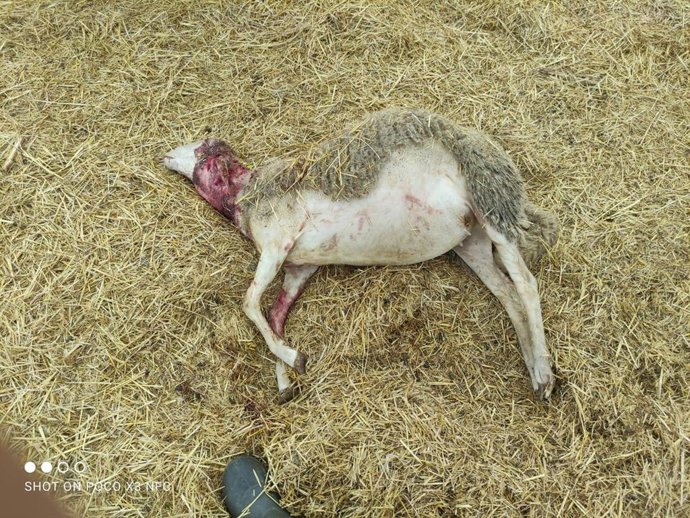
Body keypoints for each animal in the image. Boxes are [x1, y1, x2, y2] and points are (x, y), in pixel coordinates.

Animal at [163, 108, 558, 402]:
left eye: (203, 149)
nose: (166, 153)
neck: (244, 196)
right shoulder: (298, 268)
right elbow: (275, 317)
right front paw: (286, 380)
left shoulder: (278, 244)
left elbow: (248, 302)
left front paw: (295, 359)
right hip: (472, 241)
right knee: (507, 294)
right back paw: (533, 368)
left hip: (492, 209)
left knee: (526, 285)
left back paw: (544, 373)